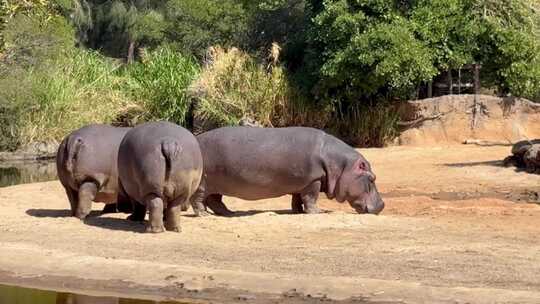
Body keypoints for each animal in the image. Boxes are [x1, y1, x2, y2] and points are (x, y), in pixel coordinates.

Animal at [192, 127, 386, 215]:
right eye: (372, 178)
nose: (382, 205)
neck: (339, 164)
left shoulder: (302, 181)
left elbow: (297, 198)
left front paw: (298, 212)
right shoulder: (313, 180)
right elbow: (311, 198)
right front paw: (317, 212)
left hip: (216, 183)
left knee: (215, 200)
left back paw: (228, 213)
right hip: (203, 182)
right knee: (199, 199)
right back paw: (204, 214)